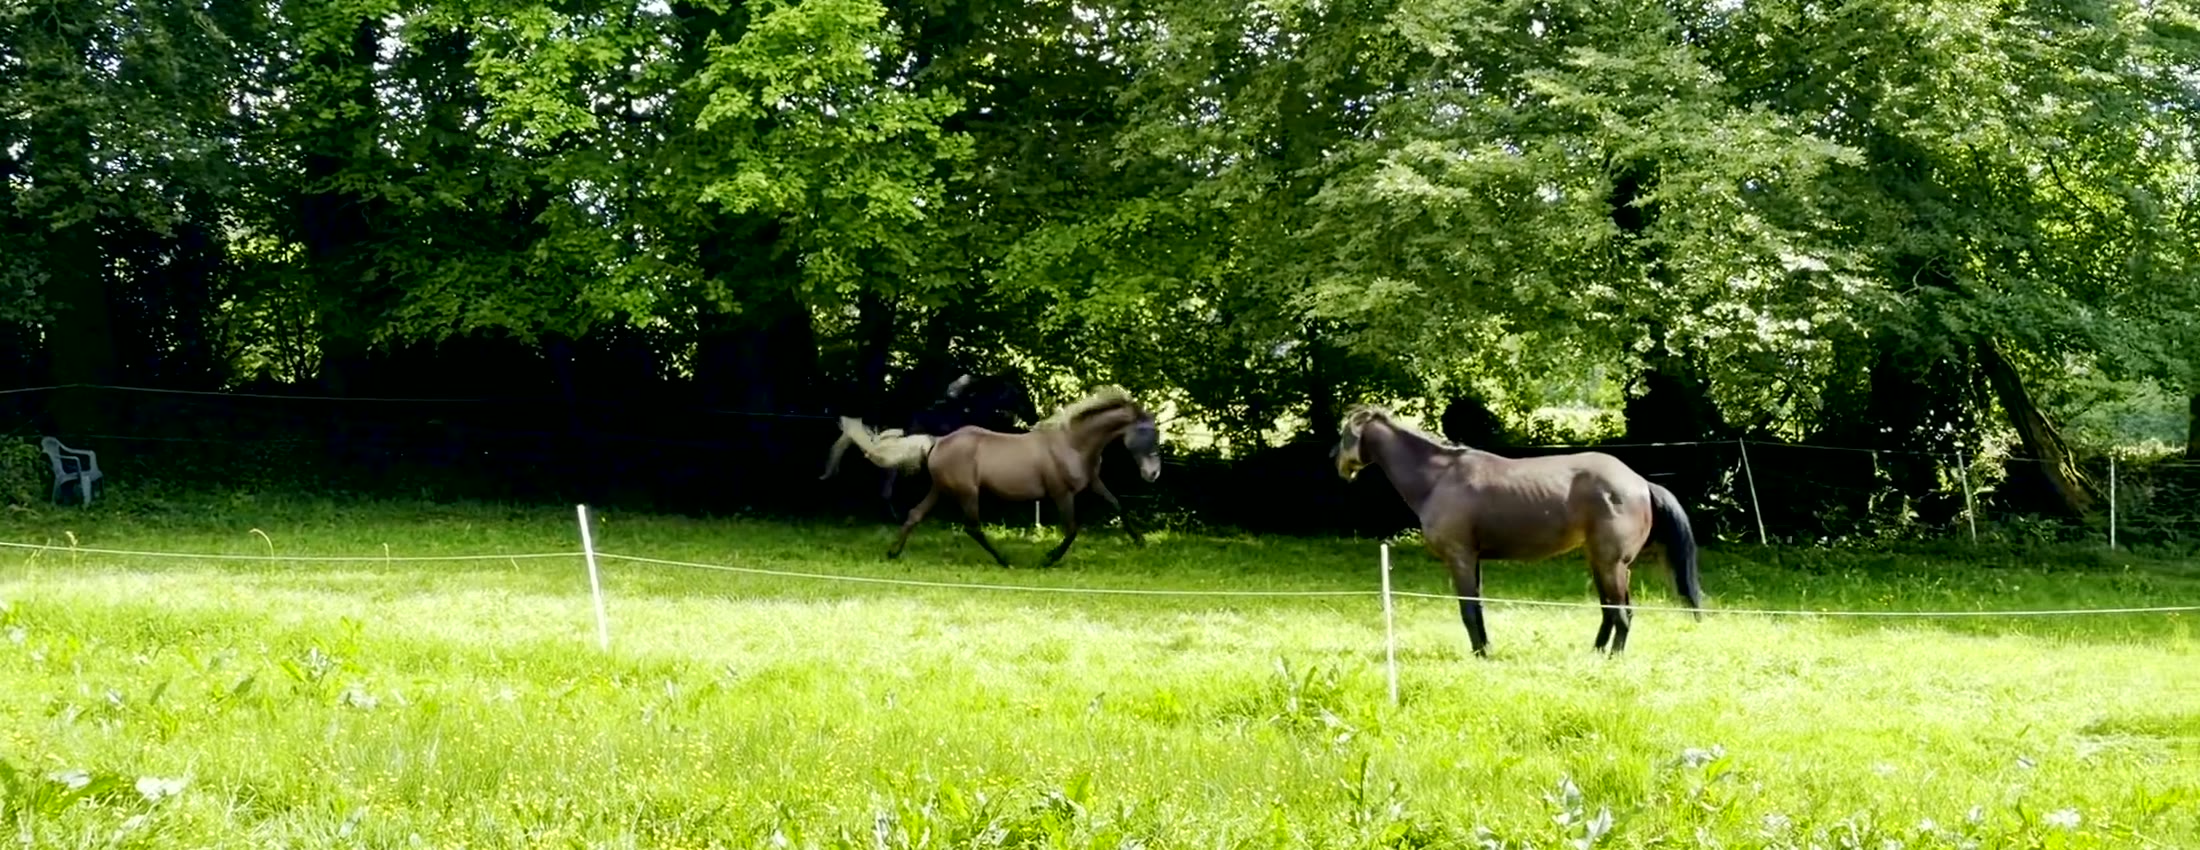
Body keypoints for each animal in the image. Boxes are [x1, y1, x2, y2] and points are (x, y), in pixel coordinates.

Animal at [832, 386, 1162, 567]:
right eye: (1147, 435)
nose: (1153, 473)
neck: (1073, 444)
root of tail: (938, 441)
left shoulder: (1093, 483)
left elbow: (1118, 505)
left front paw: (1140, 541)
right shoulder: (1062, 494)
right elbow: (1071, 529)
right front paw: (1048, 559)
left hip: (940, 489)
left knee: (914, 515)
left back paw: (892, 553)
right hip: (967, 492)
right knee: (972, 527)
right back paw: (1005, 561)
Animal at [1330, 405, 1704, 656]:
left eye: (1345, 434)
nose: (1336, 461)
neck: (1439, 478)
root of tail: (1640, 482)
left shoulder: (1459, 557)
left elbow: (1468, 609)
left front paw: (1481, 655)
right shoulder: (1474, 559)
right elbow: (1478, 607)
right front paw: (1484, 649)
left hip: (1612, 564)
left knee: (1622, 614)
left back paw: (1612, 657)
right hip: (1603, 563)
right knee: (1611, 612)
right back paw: (1596, 653)